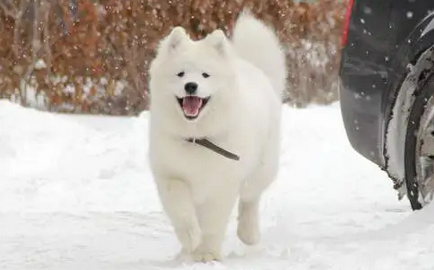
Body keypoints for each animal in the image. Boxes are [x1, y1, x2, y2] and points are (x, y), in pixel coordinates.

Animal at [147, 11, 286, 262]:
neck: (197, 138)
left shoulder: (222, 186)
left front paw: (206, 254)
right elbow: (181, 209)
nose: (191, 86)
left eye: (205, 75)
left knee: (250, 197)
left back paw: (249, 233)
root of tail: (253, 68)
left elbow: (213, 223)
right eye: (180, 73)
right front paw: (190, 238)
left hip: (261, 168)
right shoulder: (170, 175)